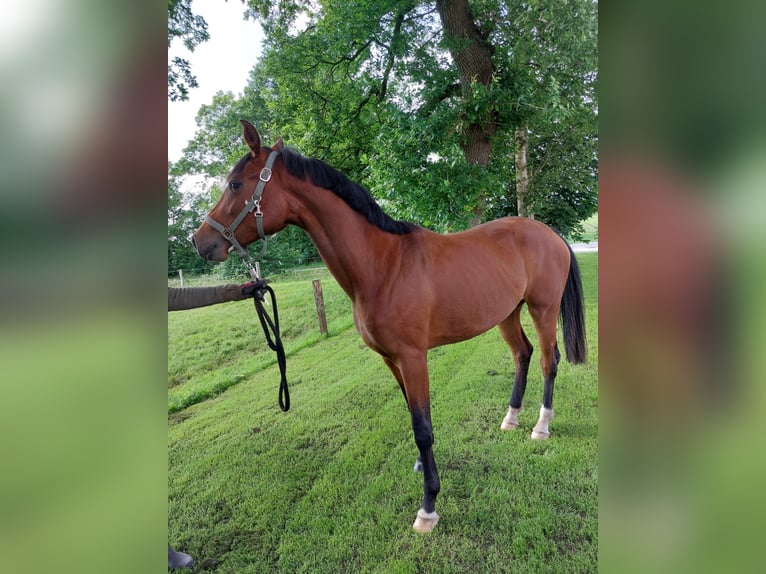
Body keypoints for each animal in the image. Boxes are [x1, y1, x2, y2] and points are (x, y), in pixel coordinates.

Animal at [192, 121, 588, 536]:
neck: (383, 265)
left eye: (235, 184)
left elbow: (423, 427)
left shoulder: (413, 358)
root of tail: (551, 234)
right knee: (522, 355)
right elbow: (412, 415)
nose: (200, 241)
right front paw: (422, 469)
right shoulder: (390, 359)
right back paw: (510, 418)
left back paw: (541, 426)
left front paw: (428, 505)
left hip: (543, 310)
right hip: (507, 314)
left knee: (548, 361)